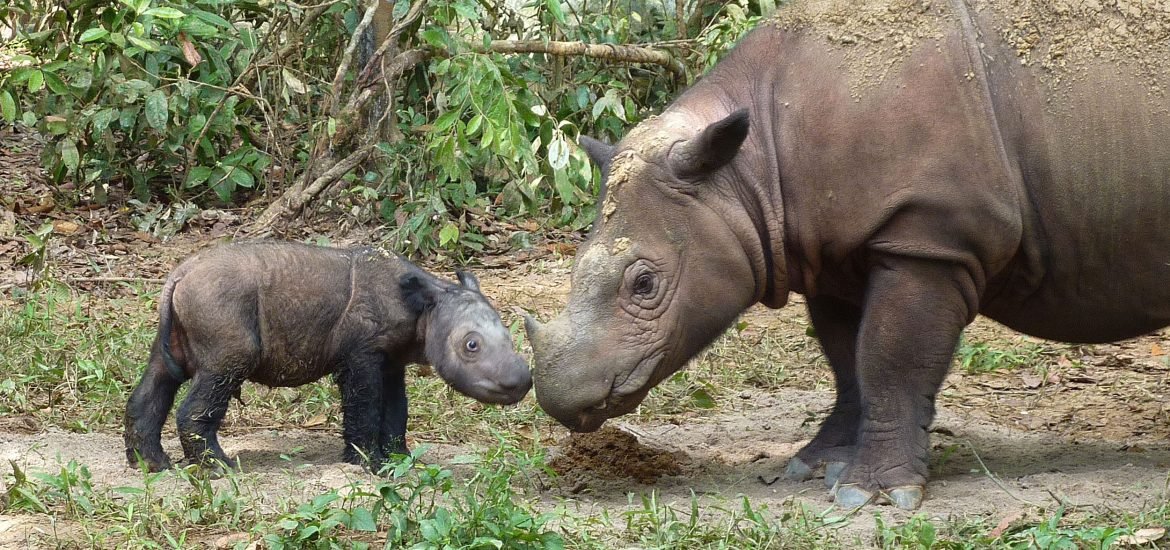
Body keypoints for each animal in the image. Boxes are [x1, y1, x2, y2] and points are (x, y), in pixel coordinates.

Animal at [124, 241, 531, 472]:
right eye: (471, 346)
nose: (522, 382)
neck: (426, 307)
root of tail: (178, 274)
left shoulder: (391, 359)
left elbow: (396, 409)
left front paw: (401, 459)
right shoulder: (361, 354)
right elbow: (365, 405)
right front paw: (370, 466)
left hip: (186, 310)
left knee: (160, 376)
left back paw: (152, 465)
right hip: (218, 304)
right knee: (222, 370)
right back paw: (219, 468)